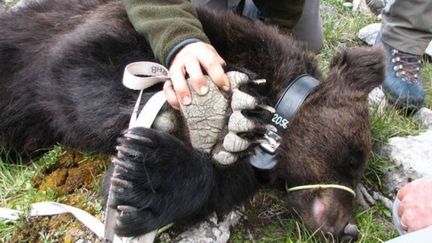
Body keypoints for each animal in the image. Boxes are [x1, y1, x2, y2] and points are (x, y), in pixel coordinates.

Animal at [0, 0, 384, 241]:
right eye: (353, 161)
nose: (349, 231)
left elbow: (214, 183)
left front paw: (147, 179)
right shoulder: (98, 33)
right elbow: (80, 65)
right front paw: (207, 115)